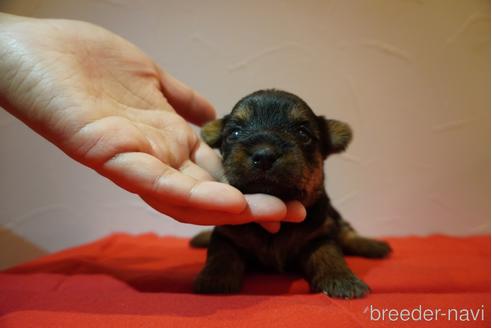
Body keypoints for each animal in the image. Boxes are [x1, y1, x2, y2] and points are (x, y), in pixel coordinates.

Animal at [190, 89, 390, 298]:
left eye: (303, 134)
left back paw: (371, 245)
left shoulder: (319, 235)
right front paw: (214, 278)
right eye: (234, 133)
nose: (264, 155)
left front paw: (342, 280)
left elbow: (329, 253)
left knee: (345, 231)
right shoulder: (227, 234)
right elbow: (221, 253)